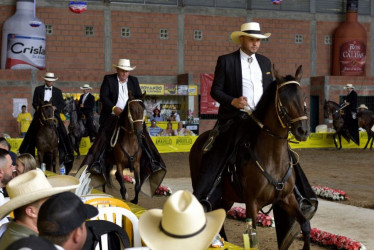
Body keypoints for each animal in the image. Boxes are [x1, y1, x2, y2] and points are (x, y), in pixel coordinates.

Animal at [190, 65, 312, 249]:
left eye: (303, 96)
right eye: (283, 99)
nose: (302, 131)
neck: (273, 159)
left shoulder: (287, 198)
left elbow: (305, 224)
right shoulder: (252, 204)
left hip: (226, 197)